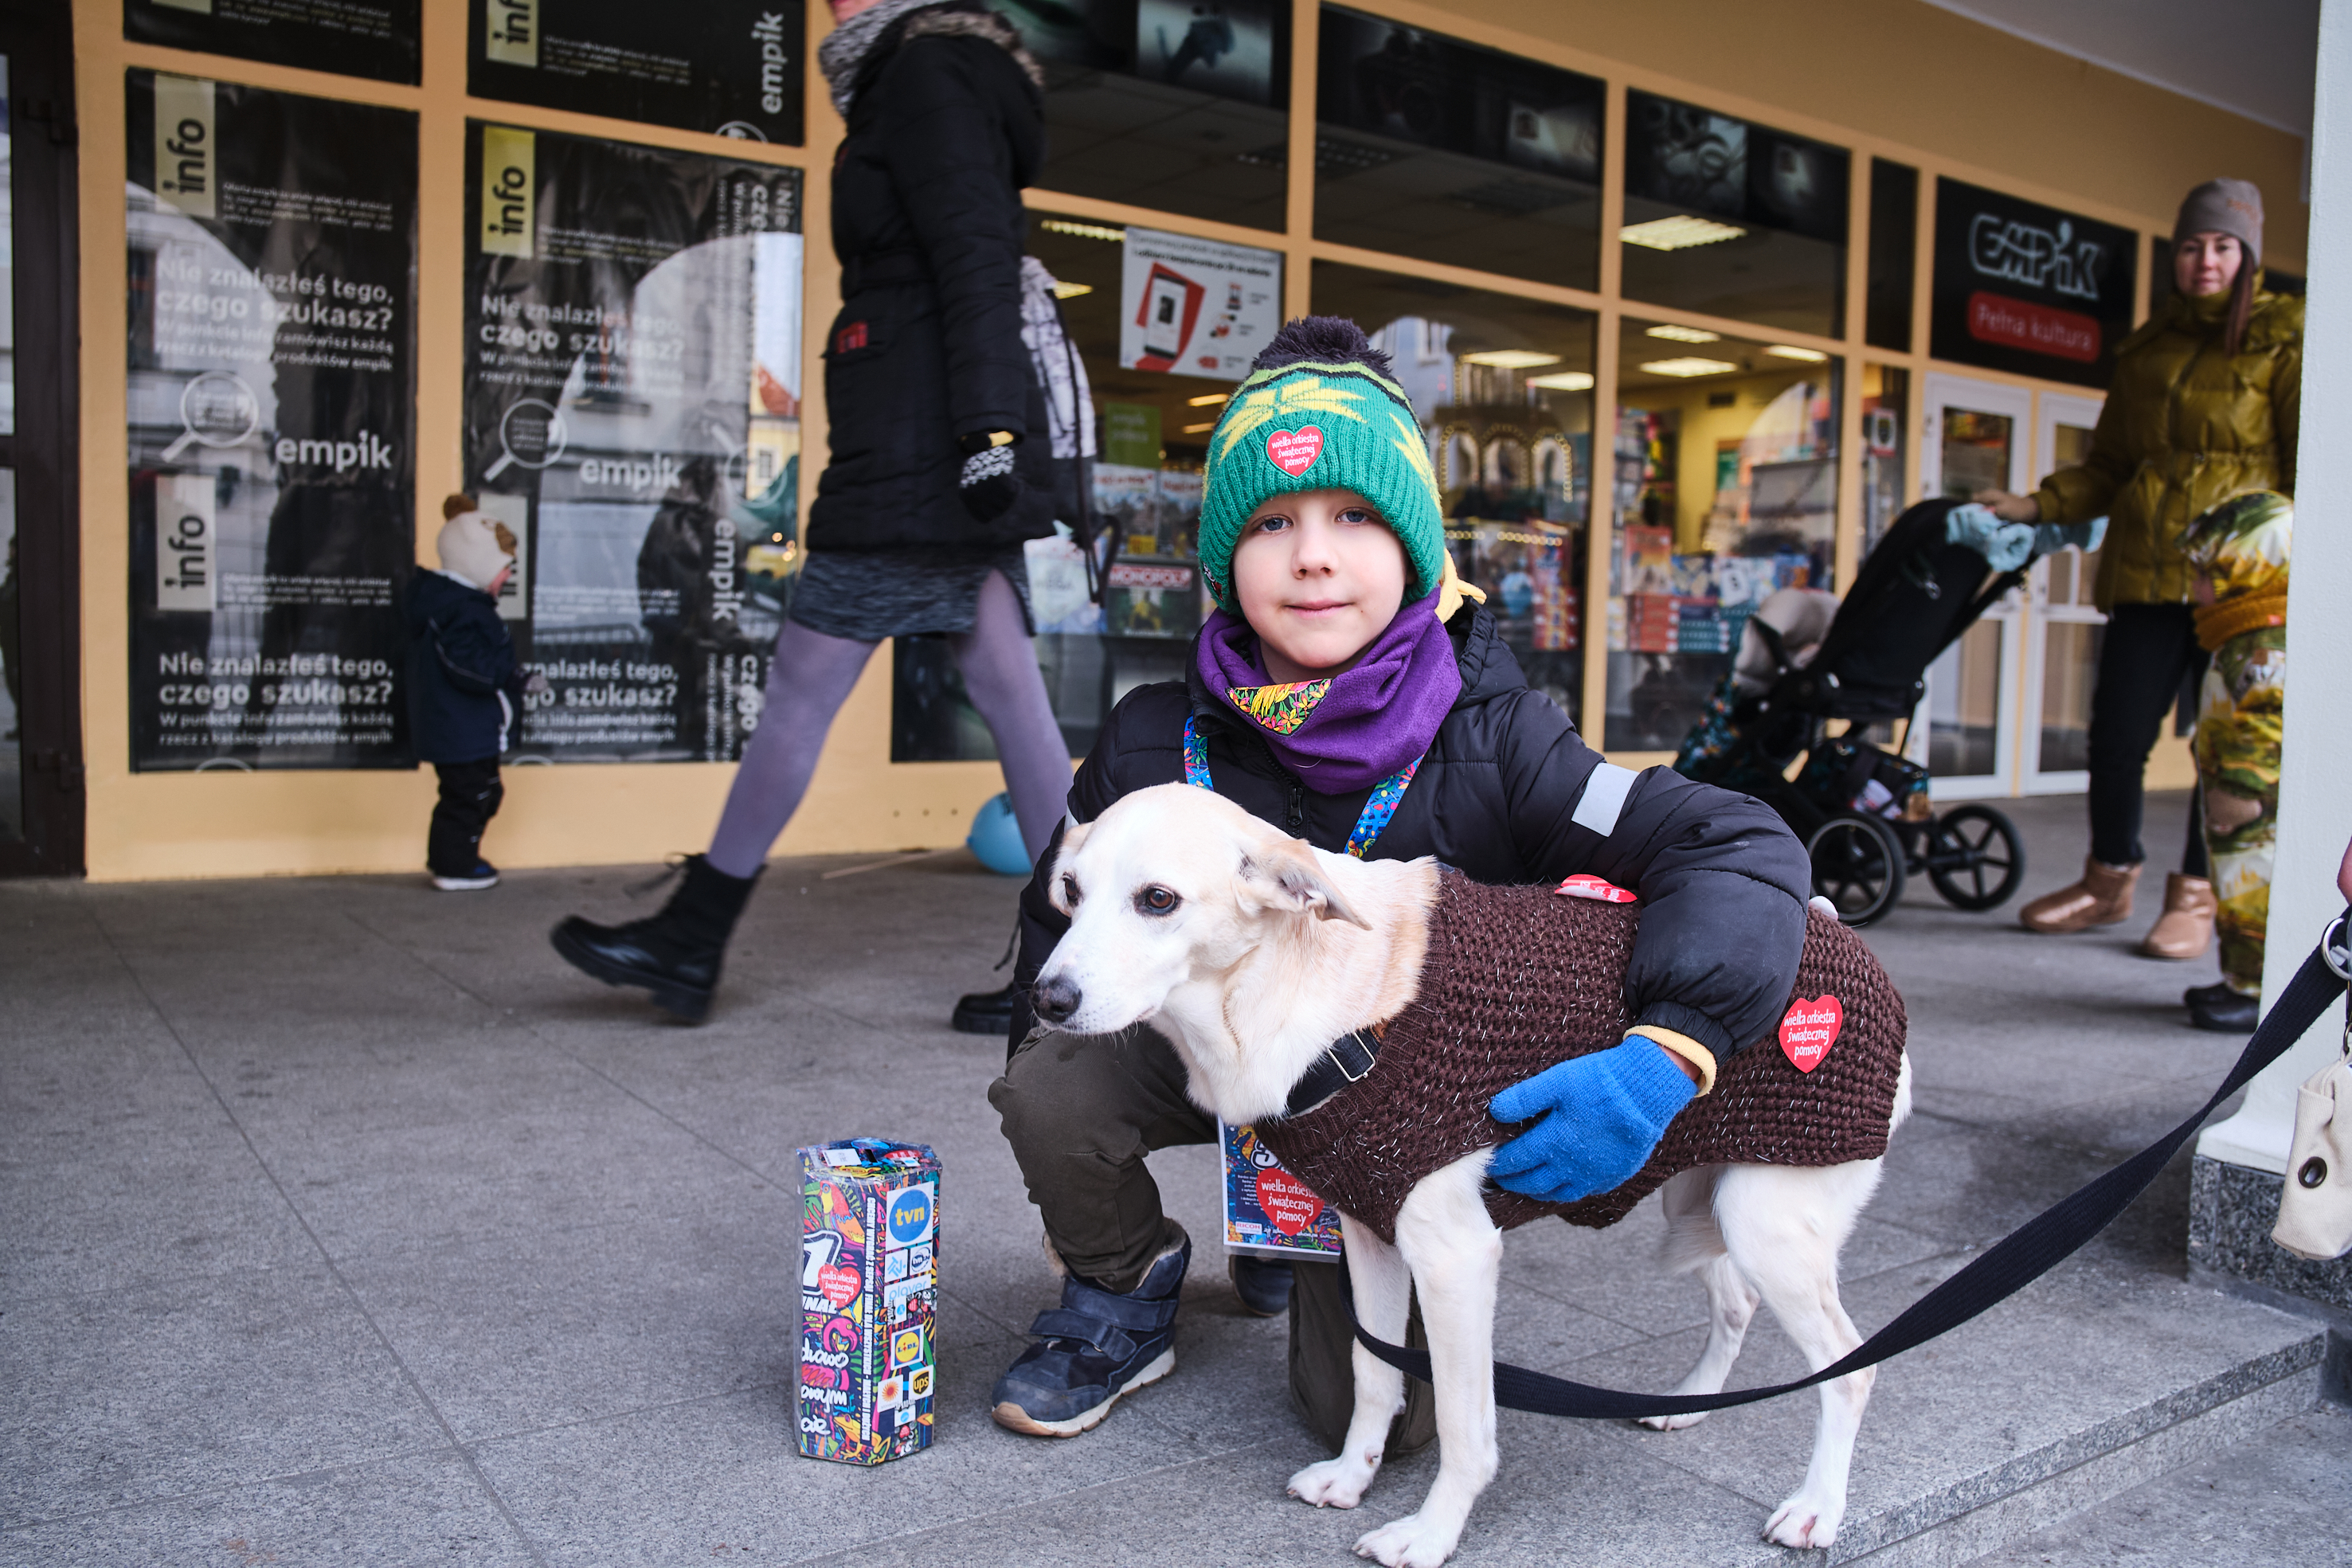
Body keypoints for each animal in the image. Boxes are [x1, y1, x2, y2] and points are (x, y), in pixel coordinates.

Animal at [1035, 784, 1909, 1568]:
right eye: (1070, 891)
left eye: (1157, 899)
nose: (1047, 998)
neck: (1301, 992)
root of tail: (1838, 929)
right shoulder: (1371, 1236)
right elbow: (1374, 1376)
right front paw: (1352, 1477)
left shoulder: (1454, 1260)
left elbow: (1463, 1429)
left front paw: (1430, 1534)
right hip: (1707, 1202)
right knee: (1736, 1302)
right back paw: (1687, 1406)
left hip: (1766, 1227)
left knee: (1851, 1368)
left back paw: (1816, 1507)